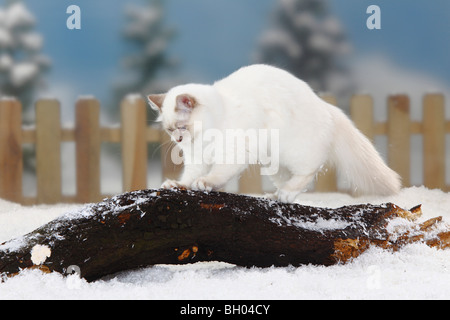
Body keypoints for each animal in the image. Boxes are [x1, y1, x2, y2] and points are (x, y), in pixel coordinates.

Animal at [149, 64, 400, 202]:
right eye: (170, 130)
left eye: (182, 127)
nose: (178, 139)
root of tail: (327, 107)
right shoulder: (196, 159)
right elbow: (187, 177)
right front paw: (176, 185)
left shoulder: (235, 153)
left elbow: (216, 174)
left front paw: (205, 183)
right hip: (274, 165)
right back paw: (276, 196)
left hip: (293, 152)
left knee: (307, 173)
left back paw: (286, 194)